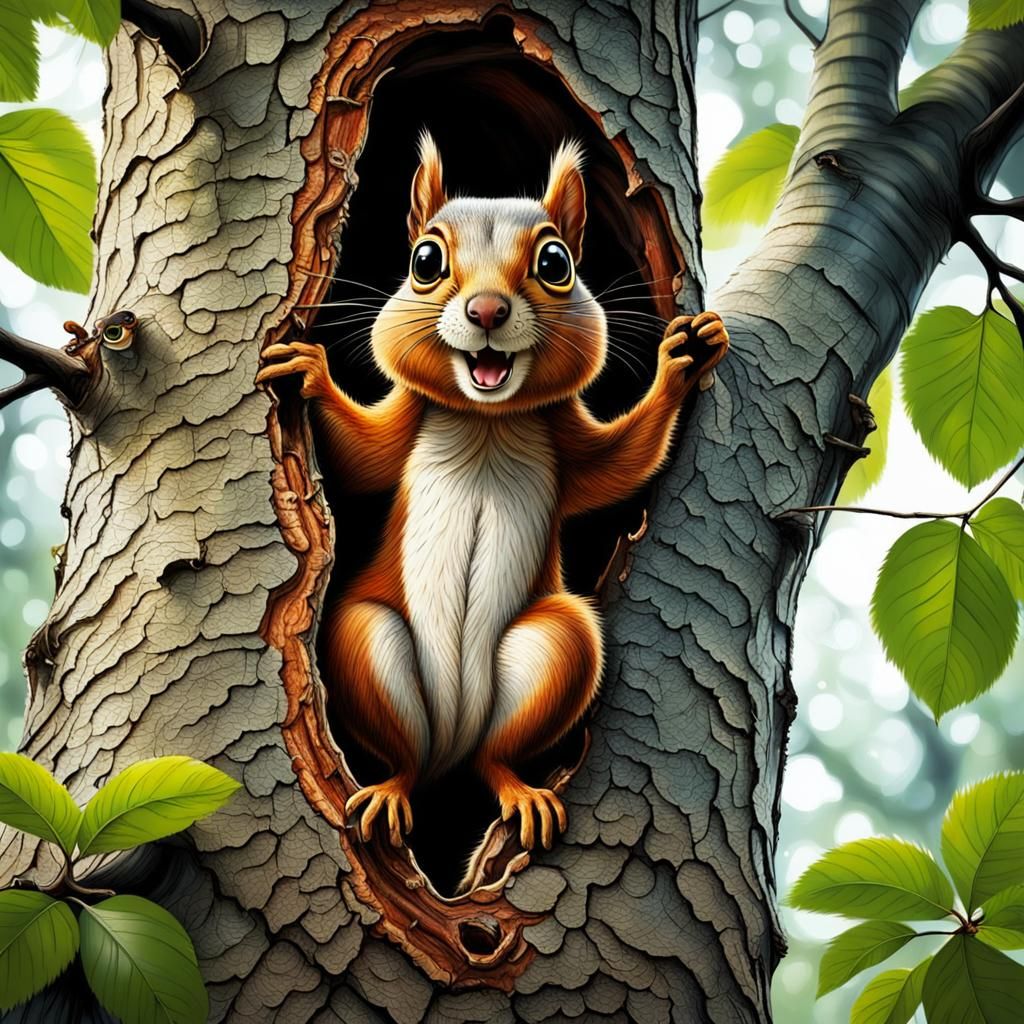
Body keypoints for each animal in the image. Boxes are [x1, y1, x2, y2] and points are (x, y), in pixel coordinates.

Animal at [257, 132, 729, 851]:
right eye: (424, 261)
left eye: (556, 262)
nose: (486, 310)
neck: (486, 419)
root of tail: (450, 747)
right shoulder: (407, 425)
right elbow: (364, 459)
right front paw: (306, 369)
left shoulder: (566, 444)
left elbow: (619, 465)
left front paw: (685, 359)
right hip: (368, 640)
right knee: (406, 754)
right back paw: (391, 792)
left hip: (558, 647)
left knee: (495, 754)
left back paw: (517, 790)